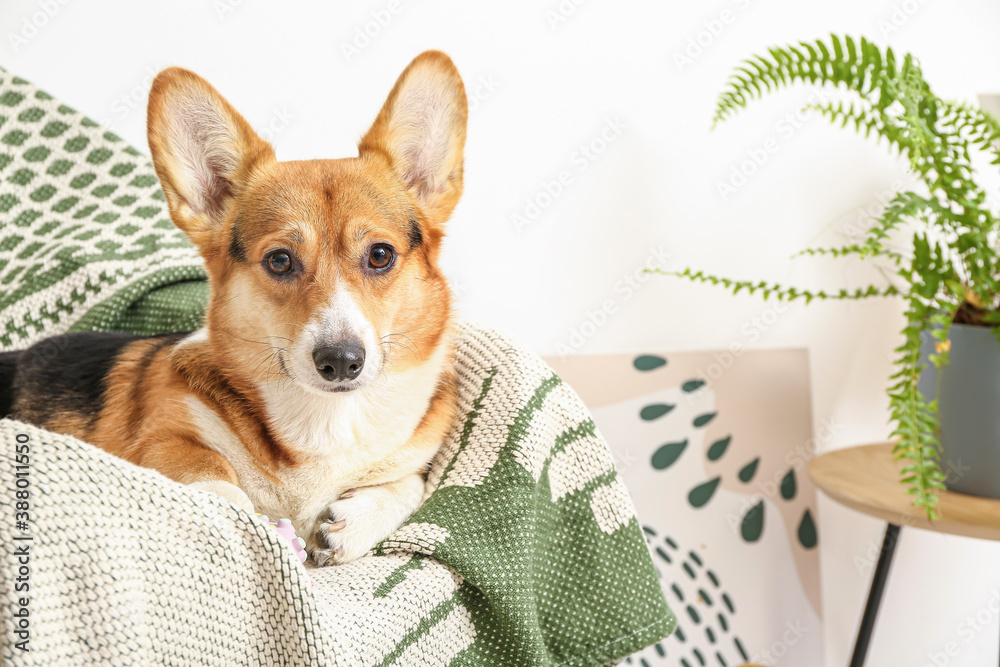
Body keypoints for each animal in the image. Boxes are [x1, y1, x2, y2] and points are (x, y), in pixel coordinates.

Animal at [0, 49, 466, 568]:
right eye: (280, 260)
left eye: (380, 255)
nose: (341, 361)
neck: (324, 421)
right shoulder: (167, 437)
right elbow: (216, 477)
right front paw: (262, 531)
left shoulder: (415, 456)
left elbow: (412, 484)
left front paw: (356, 520)